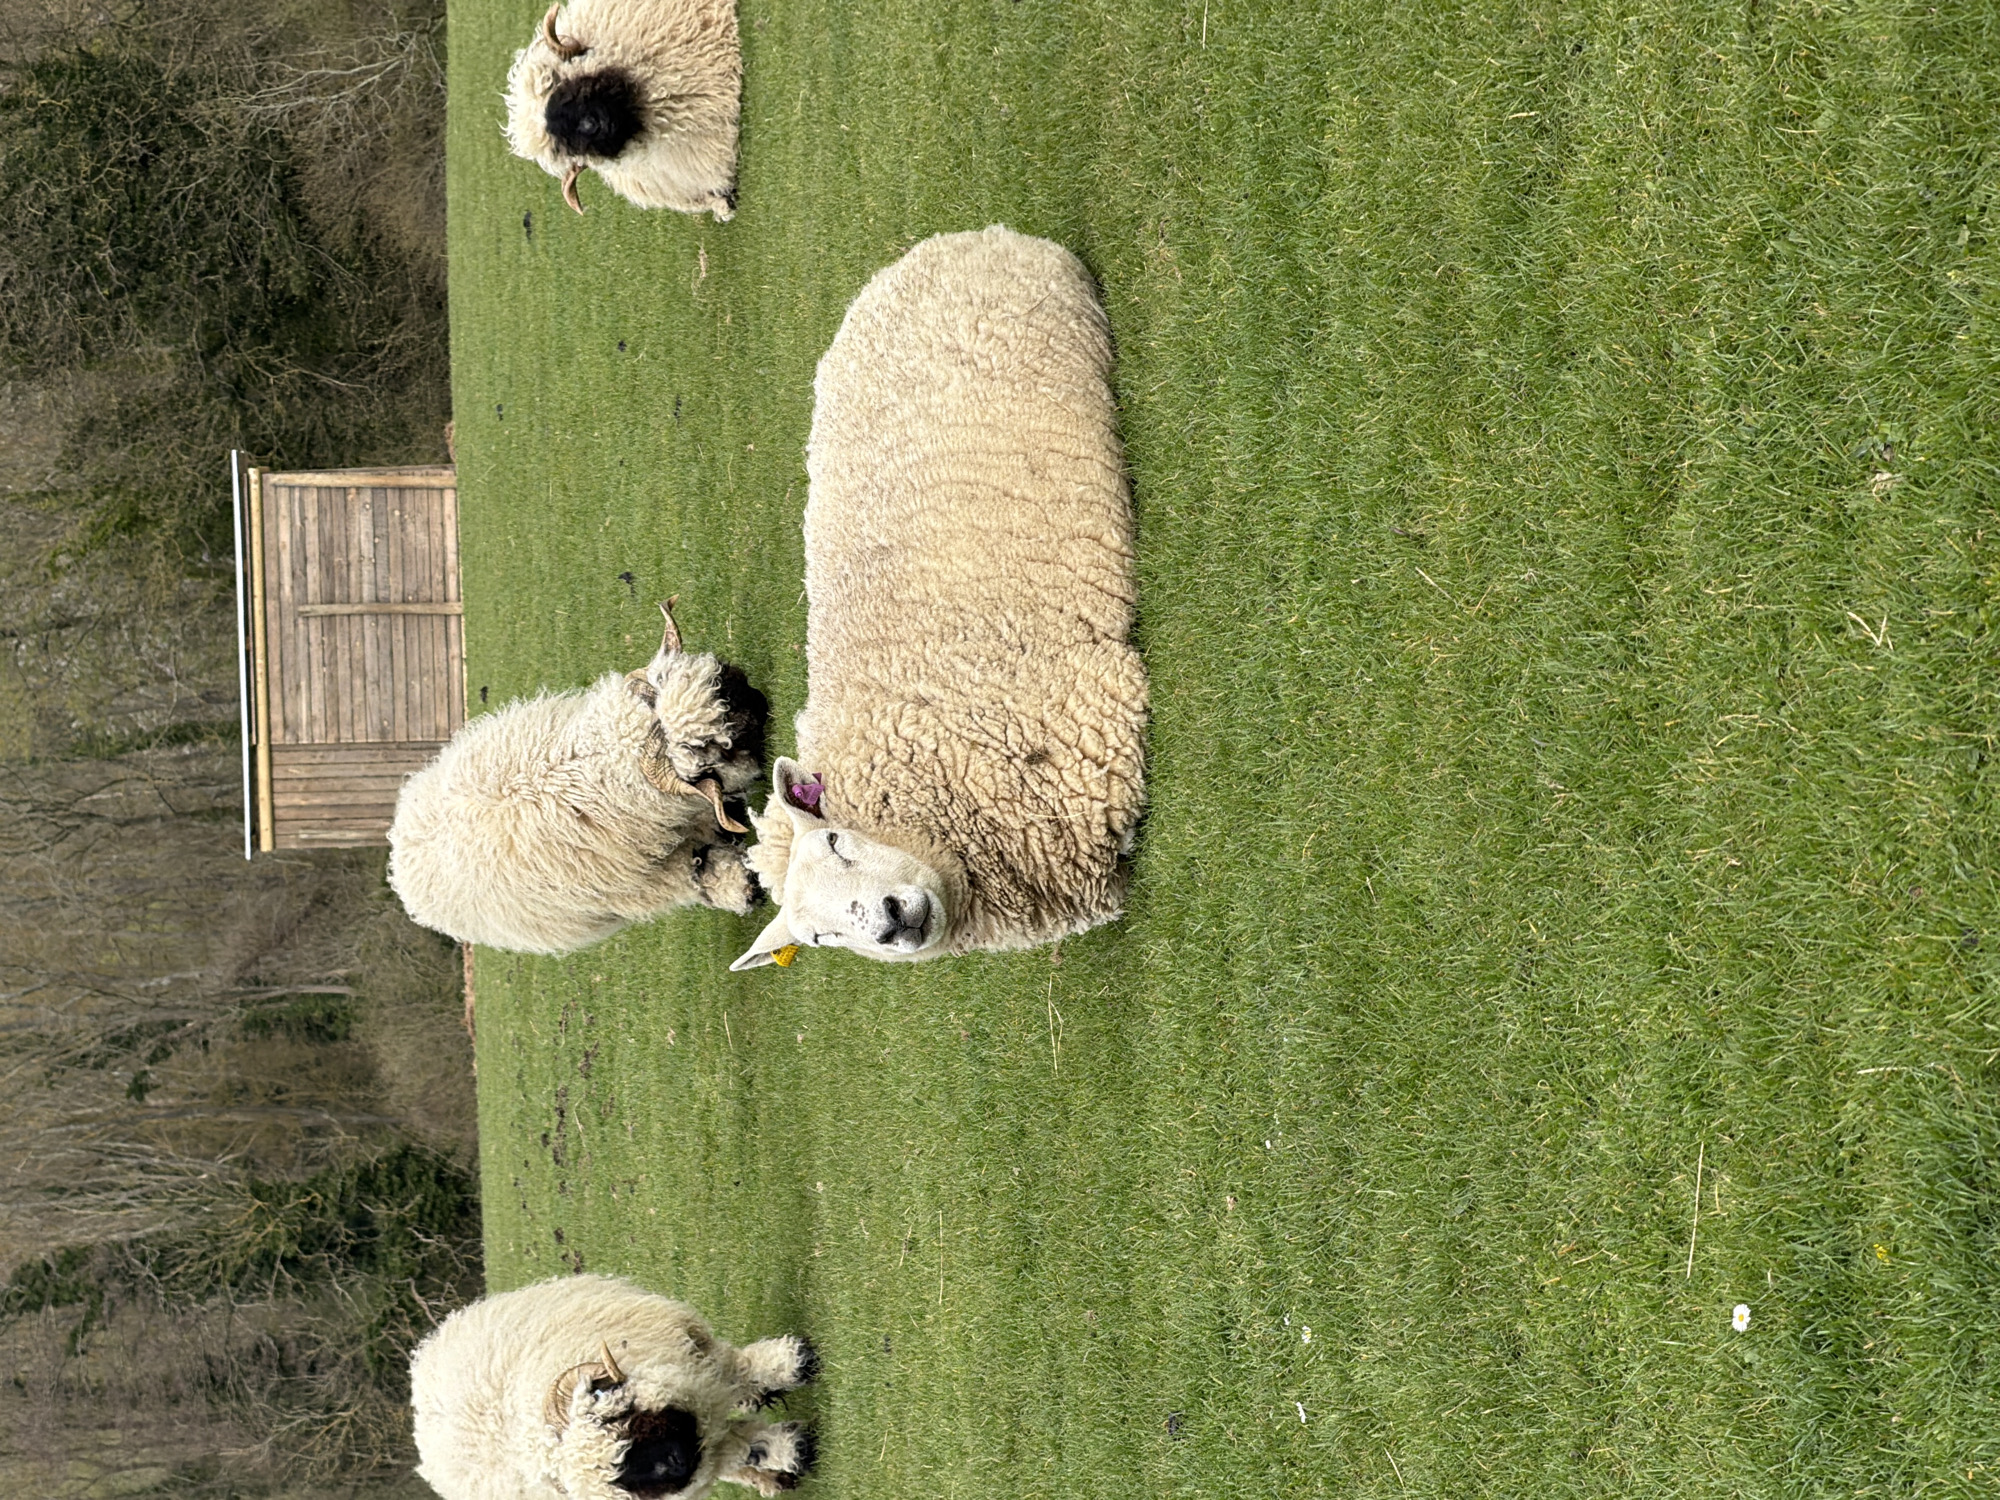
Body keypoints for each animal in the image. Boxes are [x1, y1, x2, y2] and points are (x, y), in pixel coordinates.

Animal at [388, 601, 767, 955]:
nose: (761, 700)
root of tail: (398, 852)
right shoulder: (638, 885)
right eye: (710, 746)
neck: (589, 770)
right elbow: (694, 874)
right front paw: (741, 888)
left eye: (720, 682)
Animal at [410, 1274, 816, 1500]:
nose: (676, 1463)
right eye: (621, 1472)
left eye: (615, 1417)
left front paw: (794, 1363)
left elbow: (738, 1369)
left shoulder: (694, 1350)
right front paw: (787, 1450)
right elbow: (740, 1450)